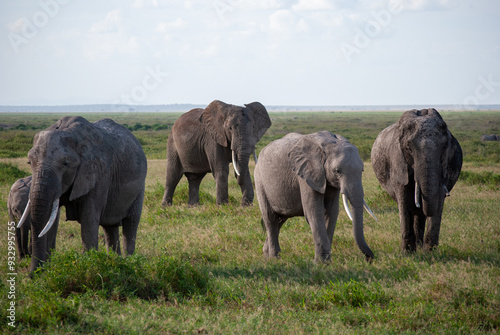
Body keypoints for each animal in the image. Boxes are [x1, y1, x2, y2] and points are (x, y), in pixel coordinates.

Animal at [18, 117, 147, 274]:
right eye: (29, 162)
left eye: (66, 163)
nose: (32, 274)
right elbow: (51, 220)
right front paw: (46, 273)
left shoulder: (99, 174)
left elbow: (89, 219)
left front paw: (89, 267)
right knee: (110, 227)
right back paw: (116, 262)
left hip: (139, 188)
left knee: (130, 223)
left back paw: (130, 263)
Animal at [254, 131, 376, 262]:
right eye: (337, 171)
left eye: (362, 170)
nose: (369, 259)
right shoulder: (306, 174)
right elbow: (314, 212)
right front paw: (322, 263)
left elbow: (332, 212)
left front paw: (327, 261)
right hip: (259, 181)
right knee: (270, 218)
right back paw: (274, 258)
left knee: (280, 220)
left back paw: (266, 255)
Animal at [370, 109, 462, 253]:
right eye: (409, 149)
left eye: (444, 147)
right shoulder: (398, 161)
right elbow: (404, 201)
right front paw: (407, 253)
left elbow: (438, 200)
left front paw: (430, 252)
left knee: (420, 213)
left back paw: (419, 246)